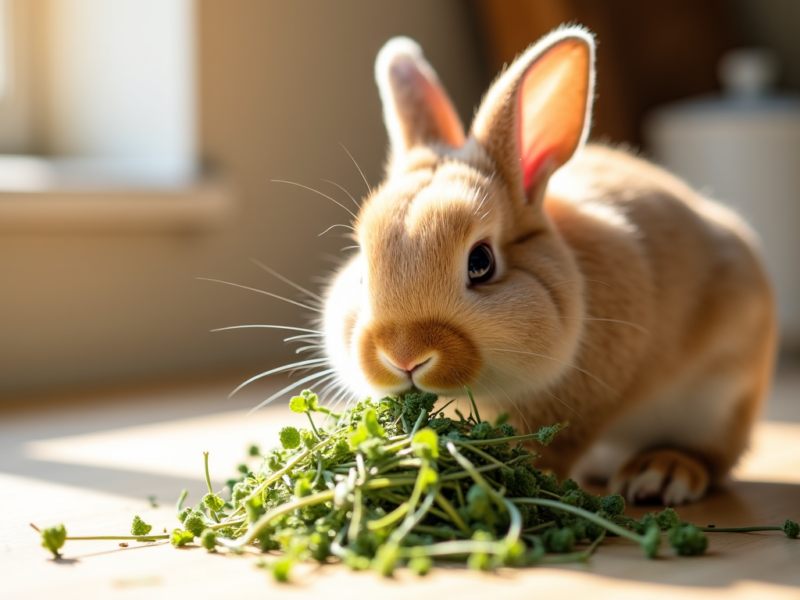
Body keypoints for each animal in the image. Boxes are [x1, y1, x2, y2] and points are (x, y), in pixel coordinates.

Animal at [321, 26, 776, 506]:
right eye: (362, 268)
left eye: (480, 262)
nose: (403, 356)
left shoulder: (579, 402)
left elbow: (550, 446)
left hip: (720, 399)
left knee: (710, 456)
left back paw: (660, 474)